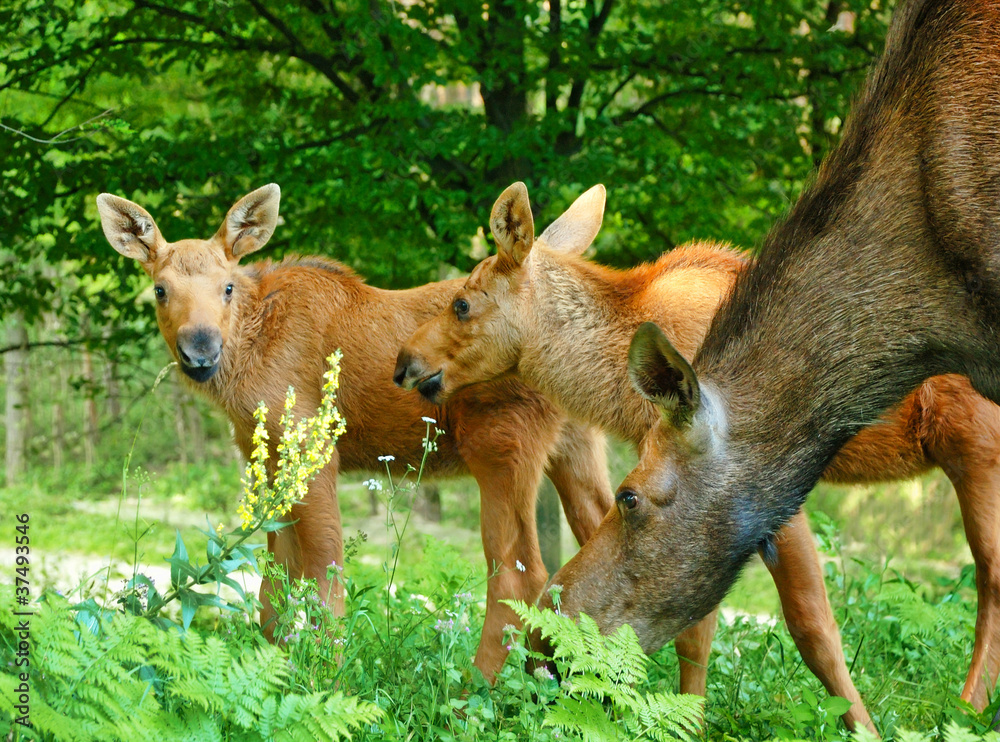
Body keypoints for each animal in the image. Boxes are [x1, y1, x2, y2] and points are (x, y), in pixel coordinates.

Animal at [95, 185, 608, 680]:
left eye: (226, 287)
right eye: (160, 289)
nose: (200, 349)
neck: (249, 352)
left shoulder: (314, 445)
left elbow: (324, 570)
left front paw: (328, 677)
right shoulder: (269, 455)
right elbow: (274, 585)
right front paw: (276, 665)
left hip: (501, 445)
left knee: (520, 575)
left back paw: (473, 691)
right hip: (576, 445)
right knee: (599, 533)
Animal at [396, 183, 1000, 728]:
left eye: (462, 302)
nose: (404, 361)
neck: (618, 377)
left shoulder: (766, 482)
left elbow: (811, 626)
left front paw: (862, 726)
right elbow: (693, 629)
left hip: (975, 444)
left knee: (989, 575)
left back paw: (968, 708)